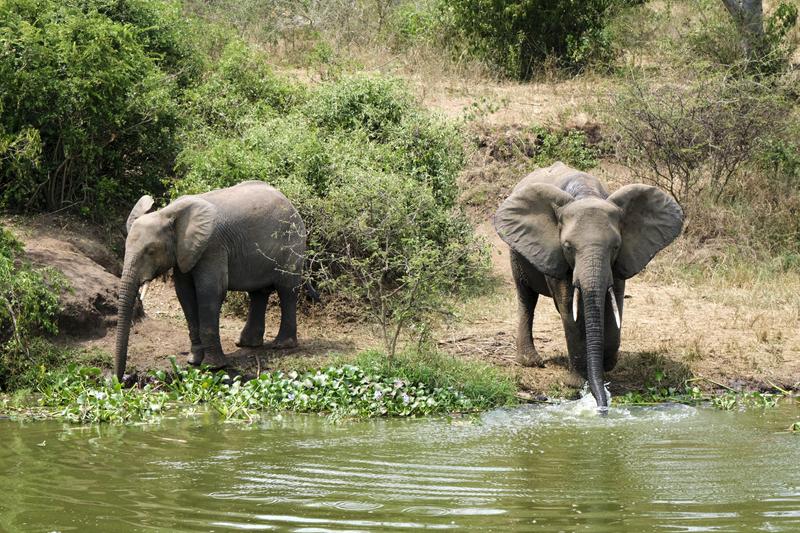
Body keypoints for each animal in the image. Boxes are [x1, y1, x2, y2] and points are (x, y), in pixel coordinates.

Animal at [114, 182, 308, 378]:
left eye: (151, 251)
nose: (121, 379)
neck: (167, 214)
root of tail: (287, 200)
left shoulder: (212, 247)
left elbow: (210, 292)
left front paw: (213, 366)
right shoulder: (184, 252)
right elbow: (185, 294)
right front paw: (194, 361)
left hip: (292, 241)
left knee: (286, 289)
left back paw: (282, 345)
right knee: (258, 293)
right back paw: (247, 344)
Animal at [490, 162, 684, 408]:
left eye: (616, 246)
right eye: (568, 246)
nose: (602, 404)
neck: (585, 193)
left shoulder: (620, 261)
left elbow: (615, 303)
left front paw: (607, 363)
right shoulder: (556, 254)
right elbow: (568, 309)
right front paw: (576, 383)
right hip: (517, 253)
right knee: (526, 297)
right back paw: (531, 361)